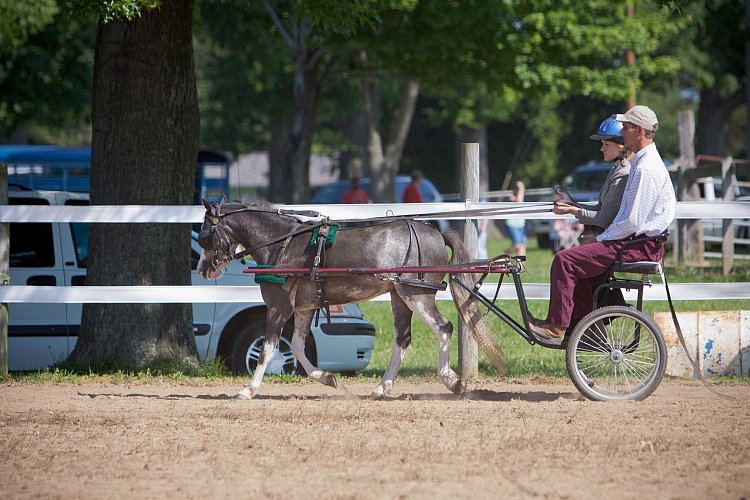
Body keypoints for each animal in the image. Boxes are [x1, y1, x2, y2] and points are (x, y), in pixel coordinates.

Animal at [200, 198, 506, 398]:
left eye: (205, 234)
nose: (203, 269)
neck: (282, 243)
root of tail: (435, 232)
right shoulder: (304, 308)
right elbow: (297, 346)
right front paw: (328, 379)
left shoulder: (278, 306)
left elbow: (268, 348)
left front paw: (248, 389)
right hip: (399, 297)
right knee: (402, 338)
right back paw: (382, 387)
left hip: (416, 294)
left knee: (444, 328)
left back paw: (451, 381)